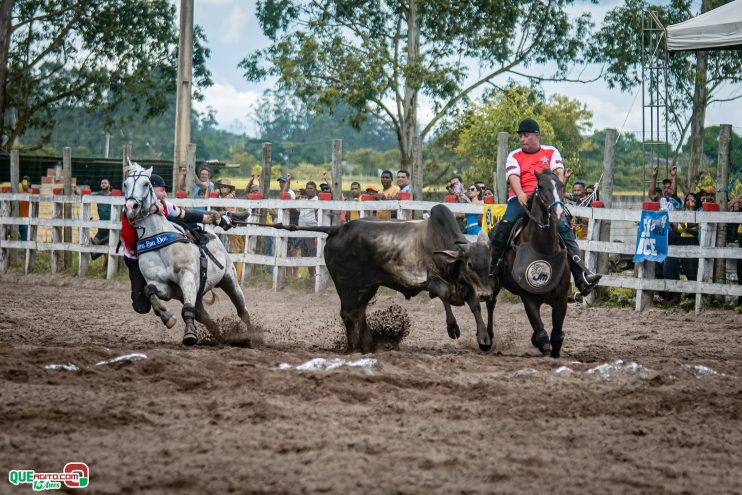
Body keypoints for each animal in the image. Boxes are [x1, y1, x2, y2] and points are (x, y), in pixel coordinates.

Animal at [122, 165, 250, 346]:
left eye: (146, 184)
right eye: (125, 184)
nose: (130, 207)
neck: (159, 241)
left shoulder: (187, 277)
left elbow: (187, 309)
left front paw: (189, 334)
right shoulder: (163, 285)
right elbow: (150, 291)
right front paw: (167, 317)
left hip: (229, 279)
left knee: (242, 310)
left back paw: (253, 336)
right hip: (197, 294)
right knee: (204, 316)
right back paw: (219, 336)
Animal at [488, 169, 576, 358]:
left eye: (561, 185)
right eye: (541, 186)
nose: (558, 213)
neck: (543, 249)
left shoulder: (561, 299)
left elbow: (556, 333)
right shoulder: (528, 298)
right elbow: (541, 331)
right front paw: (542, 345)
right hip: (494, 282)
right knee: (491, 303)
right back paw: (487, 339)